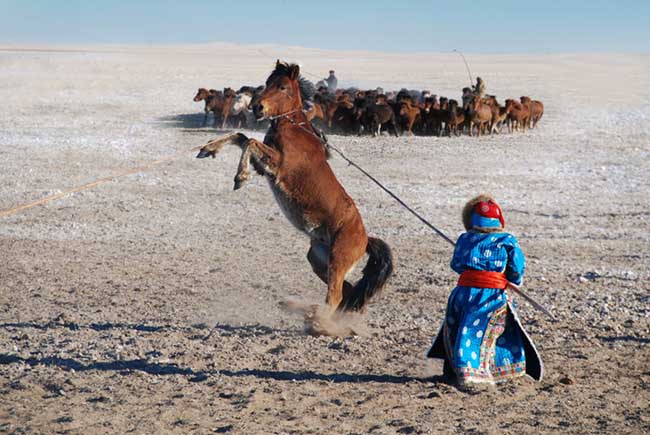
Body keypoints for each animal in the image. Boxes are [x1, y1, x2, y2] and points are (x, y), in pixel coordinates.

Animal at [195, 60, 392, 334]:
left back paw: (318, 322)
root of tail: (365, 239)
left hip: (338, 259)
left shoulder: (279, 167)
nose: (257, 107)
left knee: (336, 296)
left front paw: (240, 177)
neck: (291, 129)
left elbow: (250, 141)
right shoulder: (265, 166)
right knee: (347, 292)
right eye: (267, 83)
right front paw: (209, 149)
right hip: (319, 260)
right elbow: (241, 137)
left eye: (282, 86)